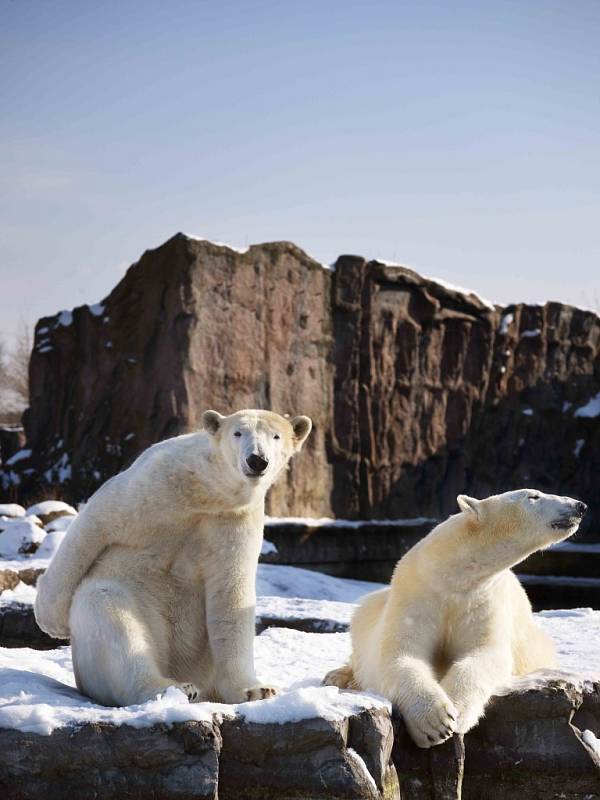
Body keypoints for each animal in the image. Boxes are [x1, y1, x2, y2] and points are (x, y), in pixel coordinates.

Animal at [34, 412, 312, 708]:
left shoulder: (233, 520)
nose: (257, 460)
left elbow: (231, 596)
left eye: (276, 436)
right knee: (111, 614)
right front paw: (50, 619)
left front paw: (254, 690)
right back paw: (171, 688)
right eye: (238, 433)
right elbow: (94, 524)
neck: (205, 492)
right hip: (133, 602)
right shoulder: (150, 486)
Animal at [326, 488, 588, 752]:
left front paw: (456, 710)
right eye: (533, 496)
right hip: (370, 610)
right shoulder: (417, 593)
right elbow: (400, 653)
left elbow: (484, 653)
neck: (454, 575)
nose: (580, 506)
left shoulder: (483, 600)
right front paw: (435, 722)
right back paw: (337, 677)